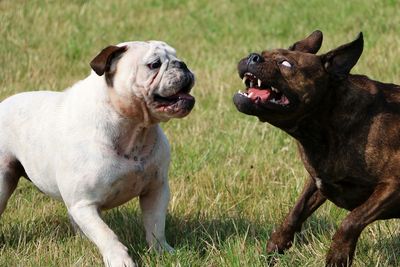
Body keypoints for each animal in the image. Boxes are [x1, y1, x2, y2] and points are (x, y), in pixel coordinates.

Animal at [233, 30, 400, 266]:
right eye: (264, 53)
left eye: (286, 64)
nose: (253, 56)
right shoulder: (319, 180)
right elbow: (296, 212)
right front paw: (276, 244)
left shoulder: (391, 187)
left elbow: (351, 220)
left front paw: (338, 255)